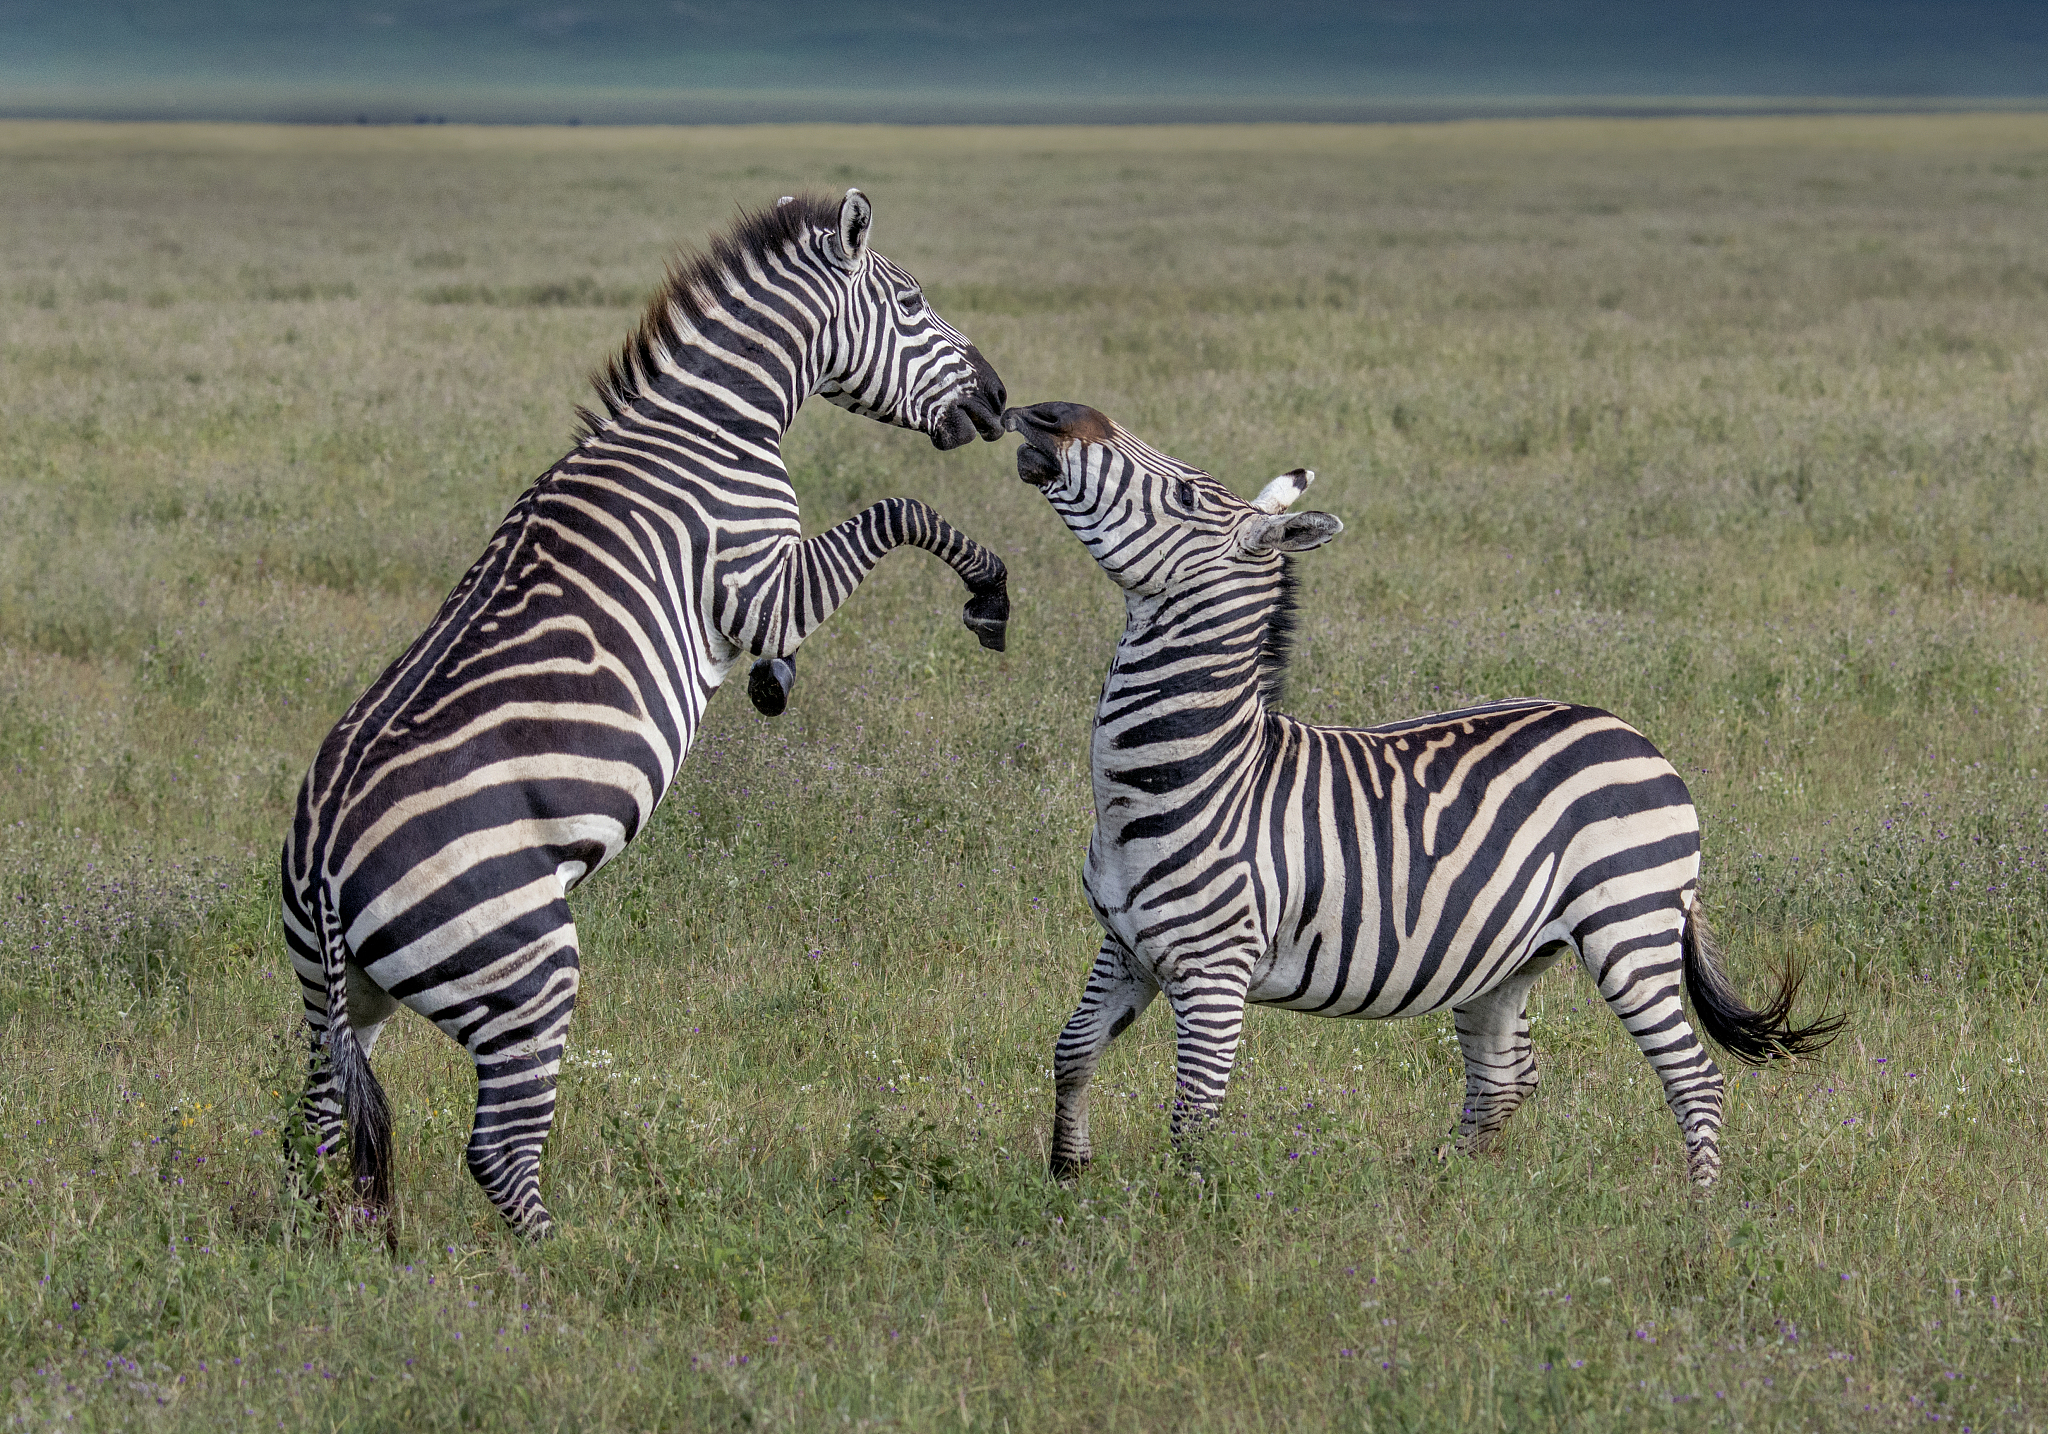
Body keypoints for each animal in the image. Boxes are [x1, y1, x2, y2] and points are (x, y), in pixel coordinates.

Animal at [282, 190, 1011, 1236]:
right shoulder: (763, 578)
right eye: (911, 304)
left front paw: (775, 682)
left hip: (340, 995)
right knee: (496, 1151)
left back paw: (314, 1247)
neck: (714, 424)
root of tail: (327, 863)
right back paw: (569, 1261)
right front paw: (988, 591)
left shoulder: (768, 593)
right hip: (525, 965)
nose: (998, 398)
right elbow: (900, 511)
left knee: (316, 1126)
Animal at [1003, 401, 1841, 1188]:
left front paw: (1191, 1215)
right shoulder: (1125, 945)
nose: (1050, 413)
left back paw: (1697, 1212)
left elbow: (1193, 1118)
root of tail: (1634, 735)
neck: (1181, 777)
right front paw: (1067, 1177)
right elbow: (1073, 1050)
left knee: (1693, 1078)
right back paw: (1444, 1187)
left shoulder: (1215, 970)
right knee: (1506, 1077)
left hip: (1627, 924)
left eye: (1181, 493)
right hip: (1508, 952)